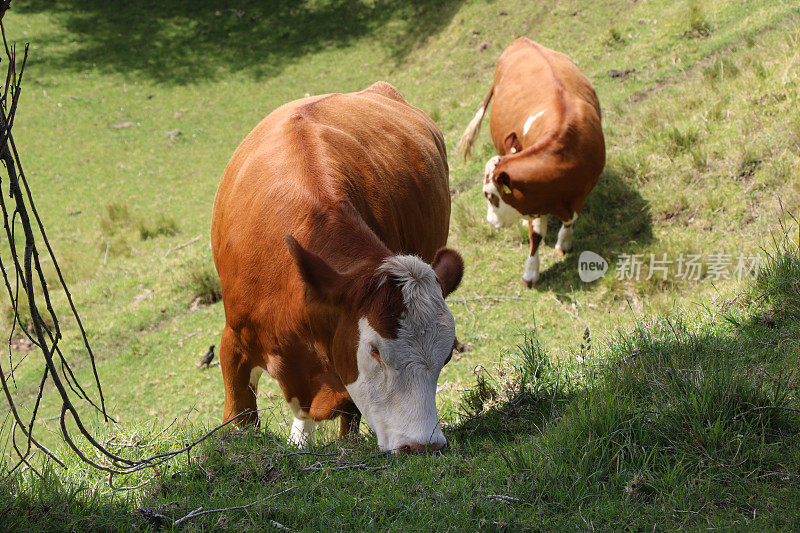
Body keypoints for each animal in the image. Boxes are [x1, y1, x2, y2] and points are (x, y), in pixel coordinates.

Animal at [209, 81, 466, 450]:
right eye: (374, 351)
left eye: (446, 355)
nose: (423, 444)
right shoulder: (234, 341)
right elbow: (239, 418)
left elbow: (350, 419)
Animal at [456, 36, 608, 286]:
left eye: (489, 196)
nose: (490, 221)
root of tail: (521, 40)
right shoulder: (535, 197)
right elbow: (535, 233)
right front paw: (531, 272)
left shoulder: (578, 193)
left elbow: (571, 219)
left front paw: (564, 241)